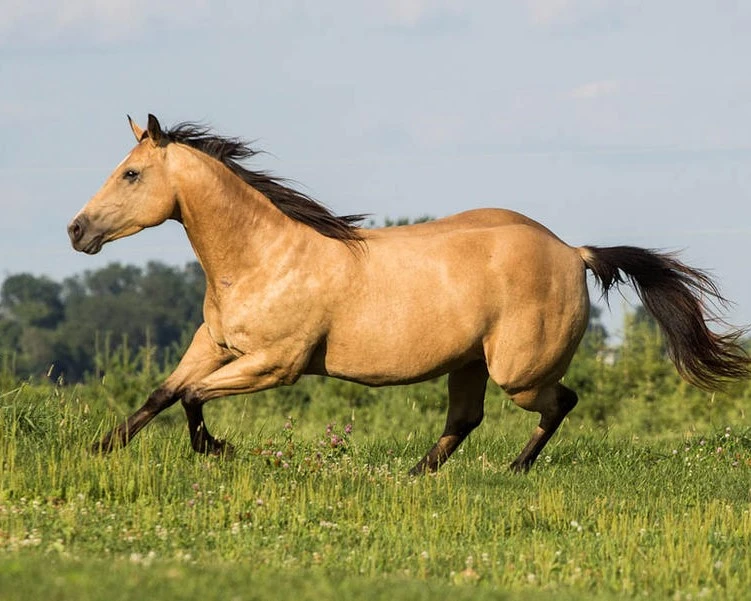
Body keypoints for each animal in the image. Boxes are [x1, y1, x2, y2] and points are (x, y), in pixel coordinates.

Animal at [67, 116, 748, 474]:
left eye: (131, 174)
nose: (77, 230)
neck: (263, 258)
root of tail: (573, 251)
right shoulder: (215, 344)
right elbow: (163, 392)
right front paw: (98, 448)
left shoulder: (274, 365)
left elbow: (191, 396)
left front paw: (216, 448)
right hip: (471, 364)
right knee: (466, 418)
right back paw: (418, 473)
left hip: (518, 372)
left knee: (561, 402)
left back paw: (513, 468)